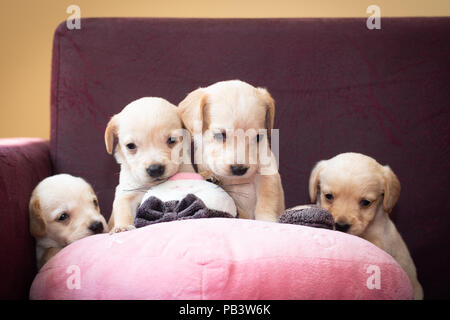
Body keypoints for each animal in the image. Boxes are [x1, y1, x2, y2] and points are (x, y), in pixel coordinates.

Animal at [105, 96, 190, 234]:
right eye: (130, 146)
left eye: (172, 140)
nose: (155, 169)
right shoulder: (126, 193)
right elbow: (123, 209)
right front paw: (122, 227)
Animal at [178, 79, 284, 222]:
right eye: (220, 135)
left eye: (258, 137)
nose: (239, 169)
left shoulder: (268, 173)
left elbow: (267, 200)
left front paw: (267, 219)